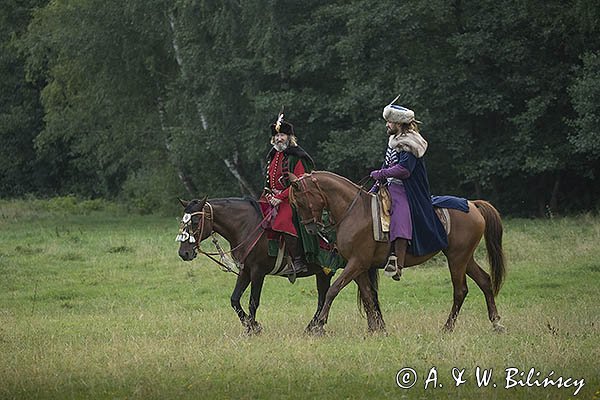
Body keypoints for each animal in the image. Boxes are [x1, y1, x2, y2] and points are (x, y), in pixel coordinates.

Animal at [290, 172, 506, 334]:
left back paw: (447, 328)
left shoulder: (357, 262)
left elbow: (333, 289)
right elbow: (368, 295)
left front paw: (319, 324)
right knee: (485, 281)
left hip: (457, 258)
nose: (310, 228)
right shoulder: (358, 266)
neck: (354, 211)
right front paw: (376, 329)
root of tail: (472, 204)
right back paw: (496, 323)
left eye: (300, 202)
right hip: (464, 257)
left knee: (460, 290)